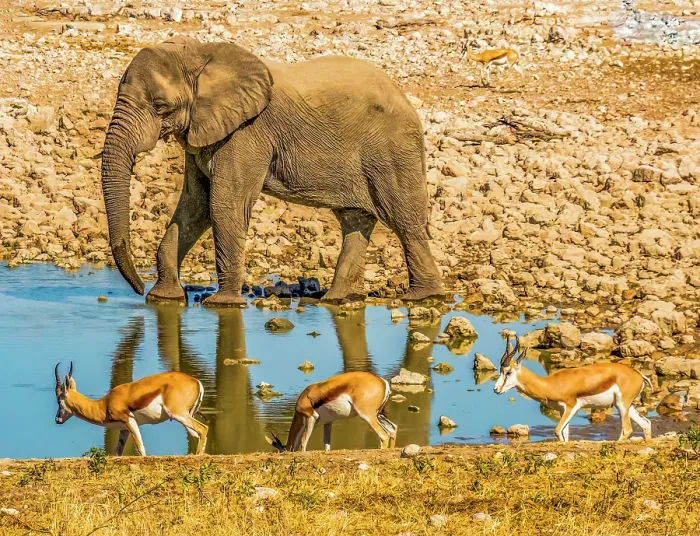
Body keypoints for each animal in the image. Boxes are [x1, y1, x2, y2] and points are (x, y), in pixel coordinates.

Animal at [101, 36, 445, 307]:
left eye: (160, 106)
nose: (138, 290)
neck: (201, 53)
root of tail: (405, 98)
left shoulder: (247, 133)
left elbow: (224, 206)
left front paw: (222, 304)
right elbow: (193, 208)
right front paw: (164, 298)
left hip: (392, 151)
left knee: (404, 220)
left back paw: (423, 298)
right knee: (355, 221)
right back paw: (337, 299)